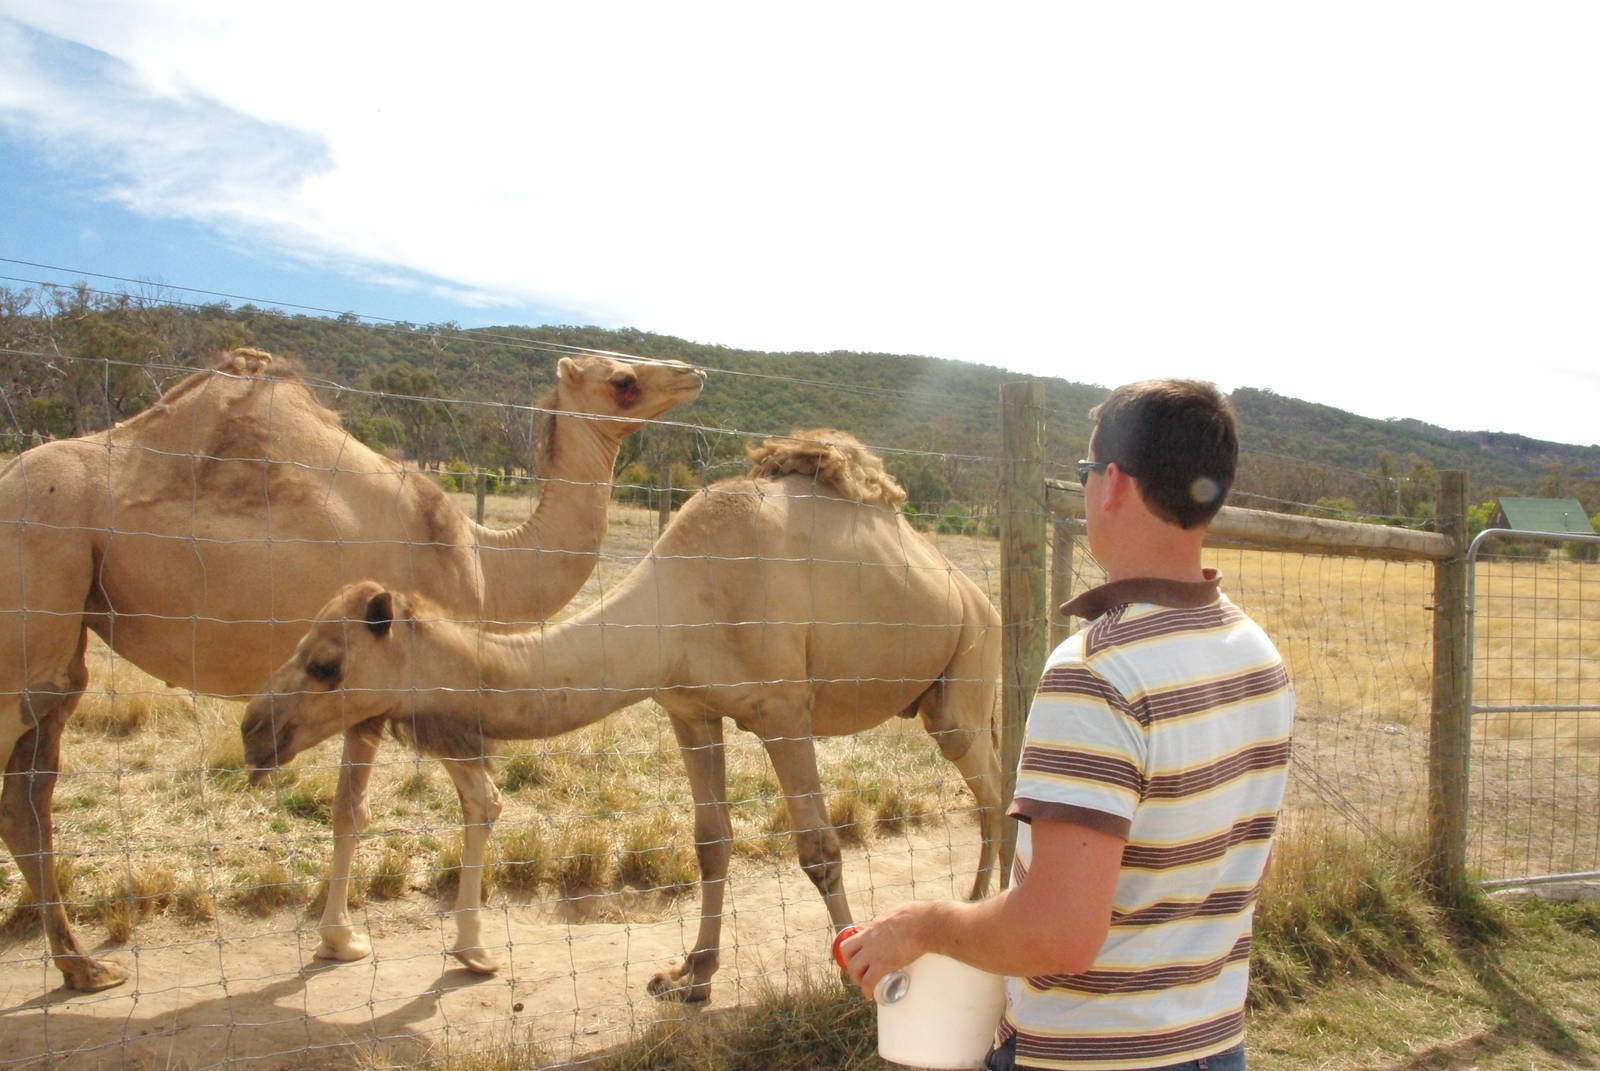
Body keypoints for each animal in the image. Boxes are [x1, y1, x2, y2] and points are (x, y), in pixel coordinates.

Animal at [0, 346, 704, 992]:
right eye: (623, 380)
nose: (691, 371)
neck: (486, 558)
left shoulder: (376, 691)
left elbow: (356, 809)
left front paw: (342, 938)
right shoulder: (407, 679)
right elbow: (458, 804)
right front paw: (449, 949)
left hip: (65, 645)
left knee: (29, 797)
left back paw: (84, 966)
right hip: (30, 616)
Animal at [242, 430, 1003, 1003]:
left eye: (326, 663)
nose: (254, 730)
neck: (680, 600)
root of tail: (976, 593)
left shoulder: (785, 710)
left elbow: (819, 849)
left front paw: (855, 978)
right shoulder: (689, 710)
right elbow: (711, 841)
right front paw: (692, 976)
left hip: (966, 673)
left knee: (993, 788)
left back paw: (985, 913)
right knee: (989, 791)